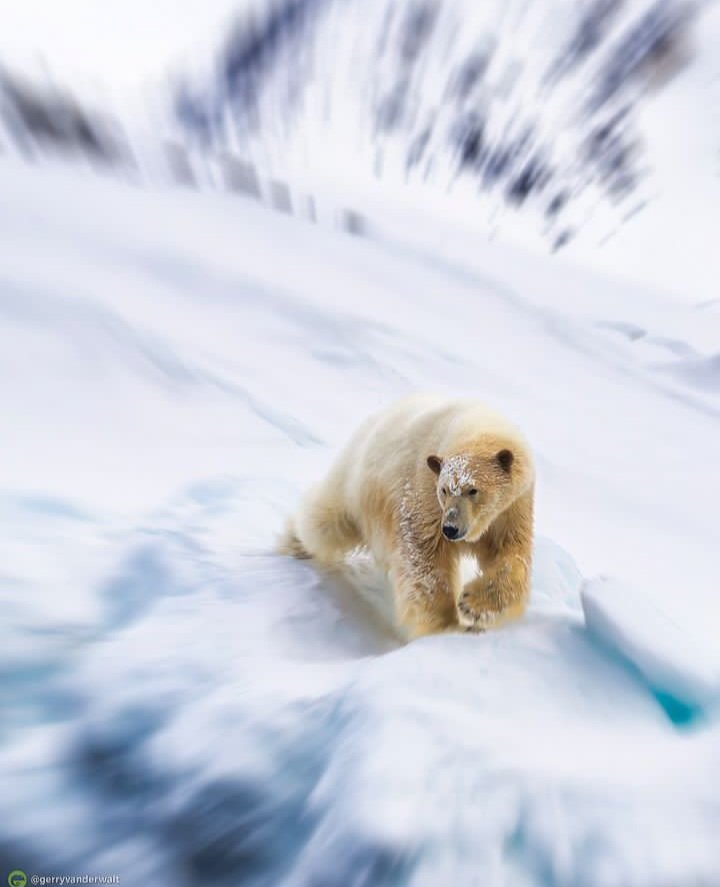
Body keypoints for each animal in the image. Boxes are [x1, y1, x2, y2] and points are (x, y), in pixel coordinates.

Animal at [280, 396, 536, 640]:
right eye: (444, 490)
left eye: (473, 490)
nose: (451, 528)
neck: (474, 425)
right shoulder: (425, 492)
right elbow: (425, 557)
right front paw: (449, 626)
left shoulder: (512, 509)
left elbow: (510, 553)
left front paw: (473, 606)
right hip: (357, 481)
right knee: (327, 521)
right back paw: (294, 543)